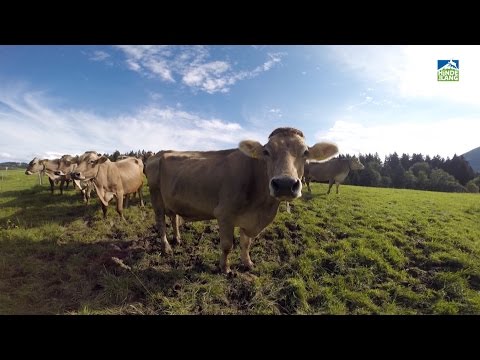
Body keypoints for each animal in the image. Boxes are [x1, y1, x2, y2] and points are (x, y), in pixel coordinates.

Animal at [145, 126, 338, 272]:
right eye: (266, 151)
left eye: (305, 152)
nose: (285, 184)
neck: (261, 208)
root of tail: (158, 153)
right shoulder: (224, 214)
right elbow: (227, 245)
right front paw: (225, 268)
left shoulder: (251, 221)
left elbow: (246, 243)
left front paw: (248, 263)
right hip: (155, 196)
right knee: (160, 222)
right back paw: (167, 247)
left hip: (170, 199)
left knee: (173, 217)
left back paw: (177, 239)